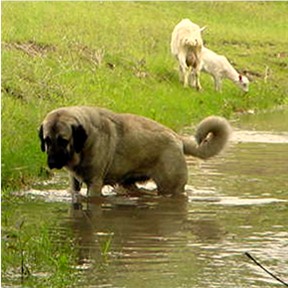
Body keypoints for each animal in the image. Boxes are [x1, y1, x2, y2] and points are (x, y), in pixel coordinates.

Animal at [38, 106, 232, 202]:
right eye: (47, 140)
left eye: (63, 140)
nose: (52, 162)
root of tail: (177, 138)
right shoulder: (75, 182)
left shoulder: (94, 183)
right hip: (127, 183)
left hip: (170, 187)